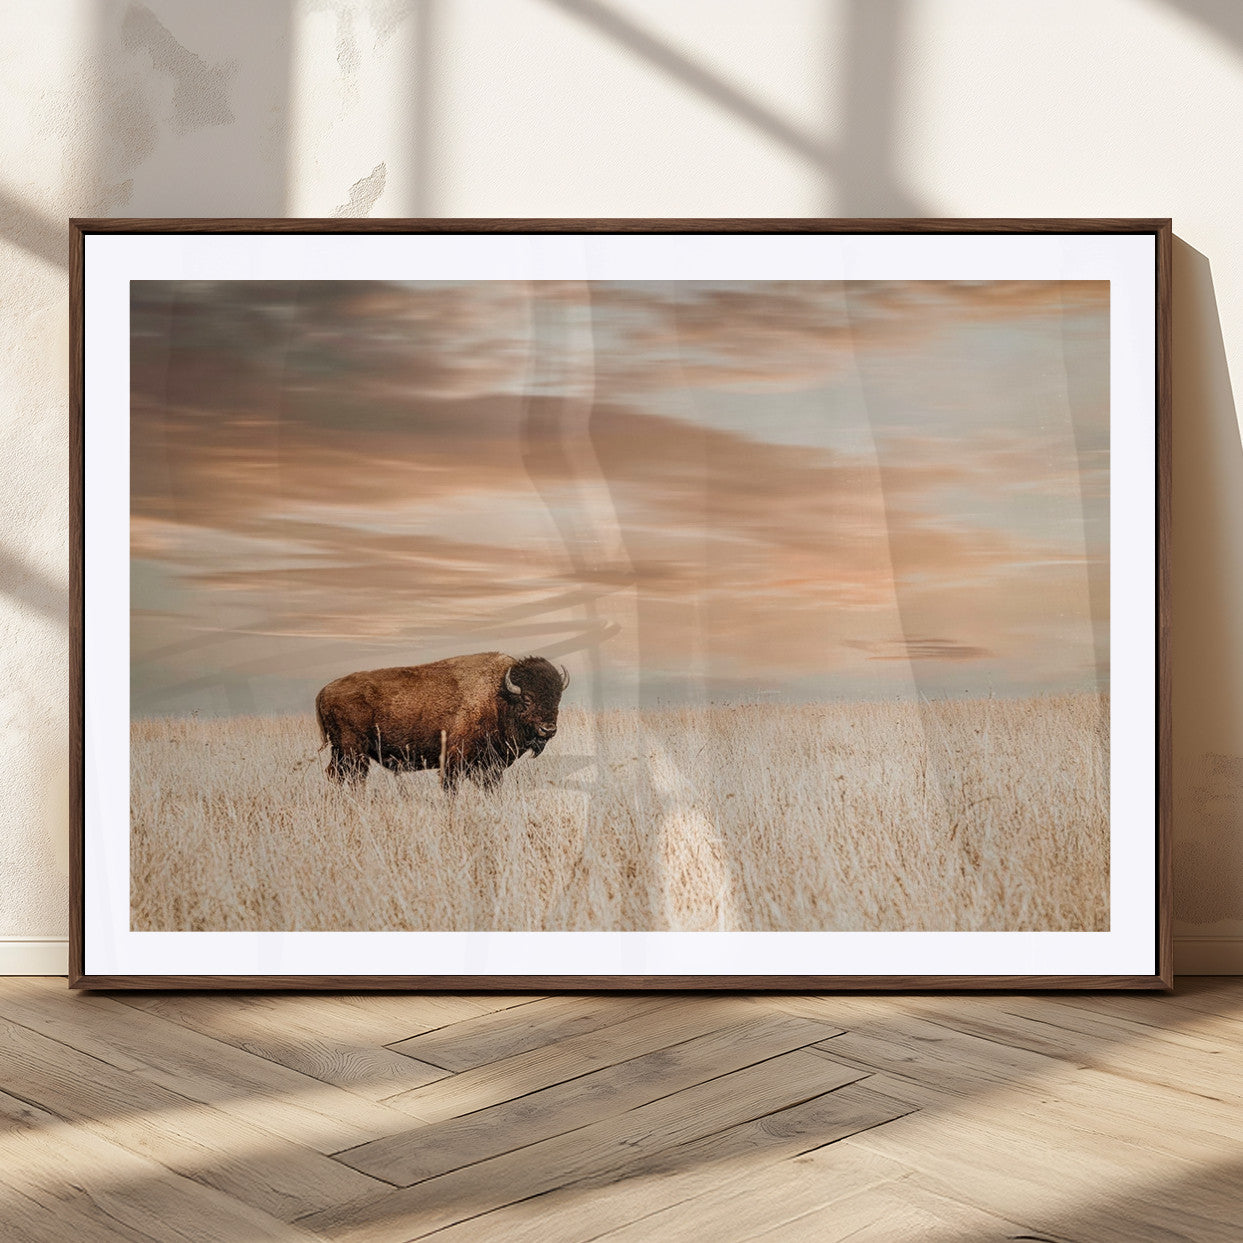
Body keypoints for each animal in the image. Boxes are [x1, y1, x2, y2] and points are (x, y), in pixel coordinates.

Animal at [315, 652, 569, 792]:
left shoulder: (489, 767)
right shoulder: (454, 761)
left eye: (557, 697)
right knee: (354, 777)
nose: (548, 729)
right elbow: (451, 788)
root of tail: (324, 691)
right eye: (527, 699)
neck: (498, 696)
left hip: (341, 752)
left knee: (336, 775)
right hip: (353, 751)